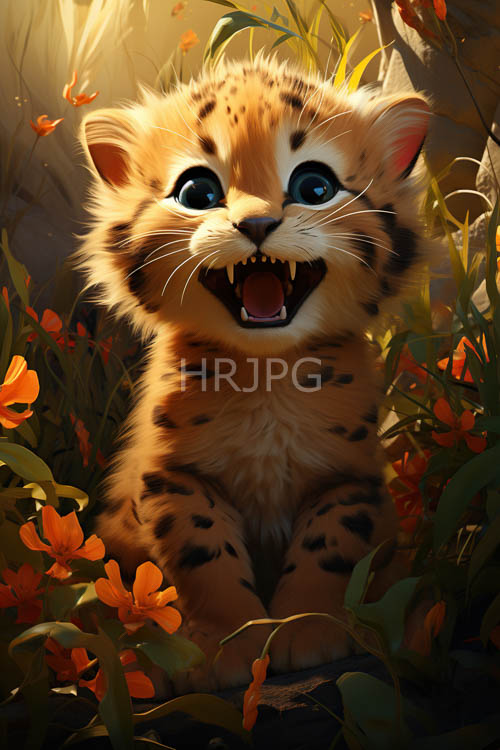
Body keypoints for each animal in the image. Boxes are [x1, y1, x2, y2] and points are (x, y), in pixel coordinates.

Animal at [77, 53, 432, 692]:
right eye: (198, 191)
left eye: (314, 186)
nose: (258, 224)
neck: (267, 376)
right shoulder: (176, 477)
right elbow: (203, 551)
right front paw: (229, 644)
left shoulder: (349, 479)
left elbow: (329, 546)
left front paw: (307, 632)